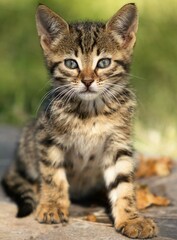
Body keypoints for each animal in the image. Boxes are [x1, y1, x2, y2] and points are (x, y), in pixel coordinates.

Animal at [2, 3, 158, 238]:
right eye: (70, 63)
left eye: (103, 62)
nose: (87, 81)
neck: (91, 112)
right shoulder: (47, 137)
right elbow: (53, 175)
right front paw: (53, 205)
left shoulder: (118, 143)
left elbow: (122, 183)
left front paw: (131, 219)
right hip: (29, 140)